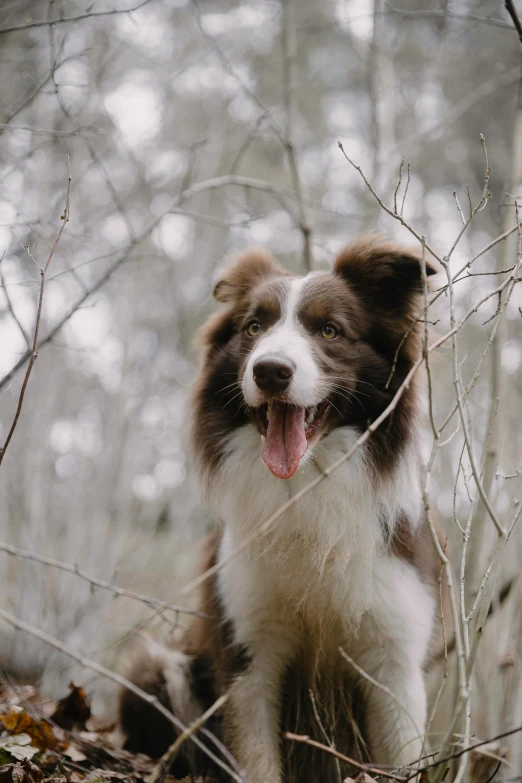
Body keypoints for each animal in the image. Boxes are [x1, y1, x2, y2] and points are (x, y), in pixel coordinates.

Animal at [118, 236, 438, 780]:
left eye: (329, 329)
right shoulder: (248, 648)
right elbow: (256, 751)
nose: (269, 371)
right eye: (254, 327)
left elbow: (400, 753)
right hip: (157, 669)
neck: (303, 488)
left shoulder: (393, 654)